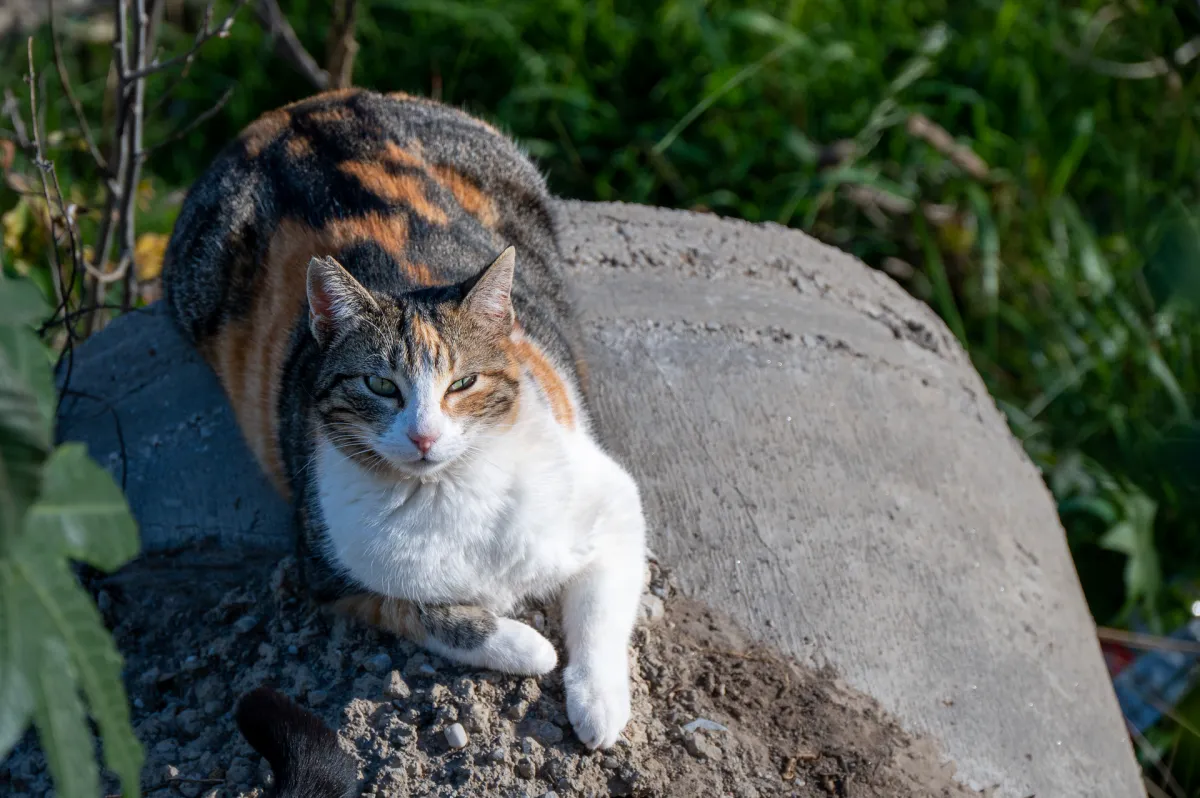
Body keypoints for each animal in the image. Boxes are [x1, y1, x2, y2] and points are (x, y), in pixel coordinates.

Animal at [165, 88, 652, 748]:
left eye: (463, 383)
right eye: (379, 384)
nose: (424, 435)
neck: (450, 493)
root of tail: (302, 107)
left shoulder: (612, 500)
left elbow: (602, 606)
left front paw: (598, 707)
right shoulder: (326, 573)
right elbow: (421, 610)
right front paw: (527, 645)